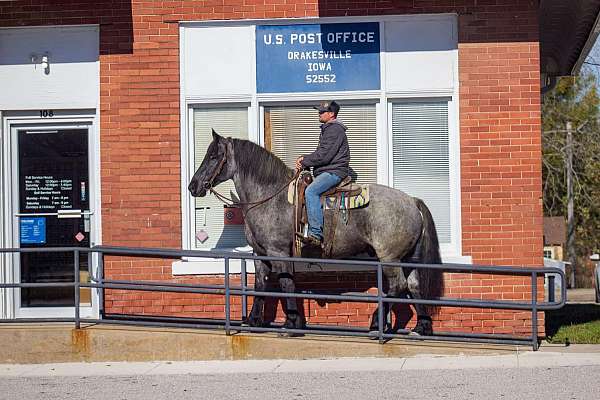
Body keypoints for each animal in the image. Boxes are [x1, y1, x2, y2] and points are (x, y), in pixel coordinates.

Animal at [189, 130, 446, 334]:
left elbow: (286, 284)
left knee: (398, 286)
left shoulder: (278, 252)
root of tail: (412, 201)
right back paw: (421, 327)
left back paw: (375, 324)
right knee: (414, 285)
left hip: (389, 257)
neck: (269, 197)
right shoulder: (259, 254)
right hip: (409, 256)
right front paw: (254, 321)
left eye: (214, 156)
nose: (193, 186)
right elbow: (261, 286)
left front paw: (291, 323)